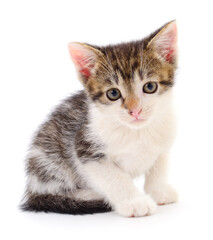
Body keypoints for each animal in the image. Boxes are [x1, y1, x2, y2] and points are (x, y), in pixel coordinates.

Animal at [21, 21, 178, 218]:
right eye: (113, 94)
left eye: (150, 87)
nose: (134, 110)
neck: (137, 132)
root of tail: (31, 188)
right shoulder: (86, 149)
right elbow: (114, 177)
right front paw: (135, 202)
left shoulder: (164, 137)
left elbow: (160, 163)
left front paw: (159, 190)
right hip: (49, 160)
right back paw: (89, 195)